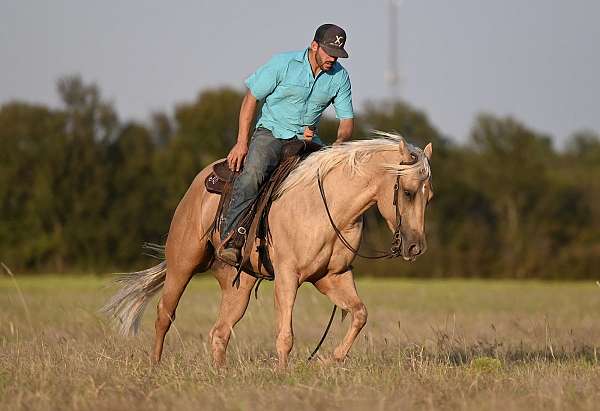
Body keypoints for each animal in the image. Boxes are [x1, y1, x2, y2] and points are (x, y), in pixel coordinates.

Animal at [103, 132, 432, 366]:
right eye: (407, 192)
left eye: (428, 197)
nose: (416, 247)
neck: (326, 205)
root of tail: (199, 182)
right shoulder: (288, 276)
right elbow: (286, 335)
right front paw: (284, 374)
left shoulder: (332, 276)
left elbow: (359, 313)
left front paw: (330, 359)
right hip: (183, 263)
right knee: (164, 314)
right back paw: (154, 366)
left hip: (240, 284)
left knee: (220, 331)